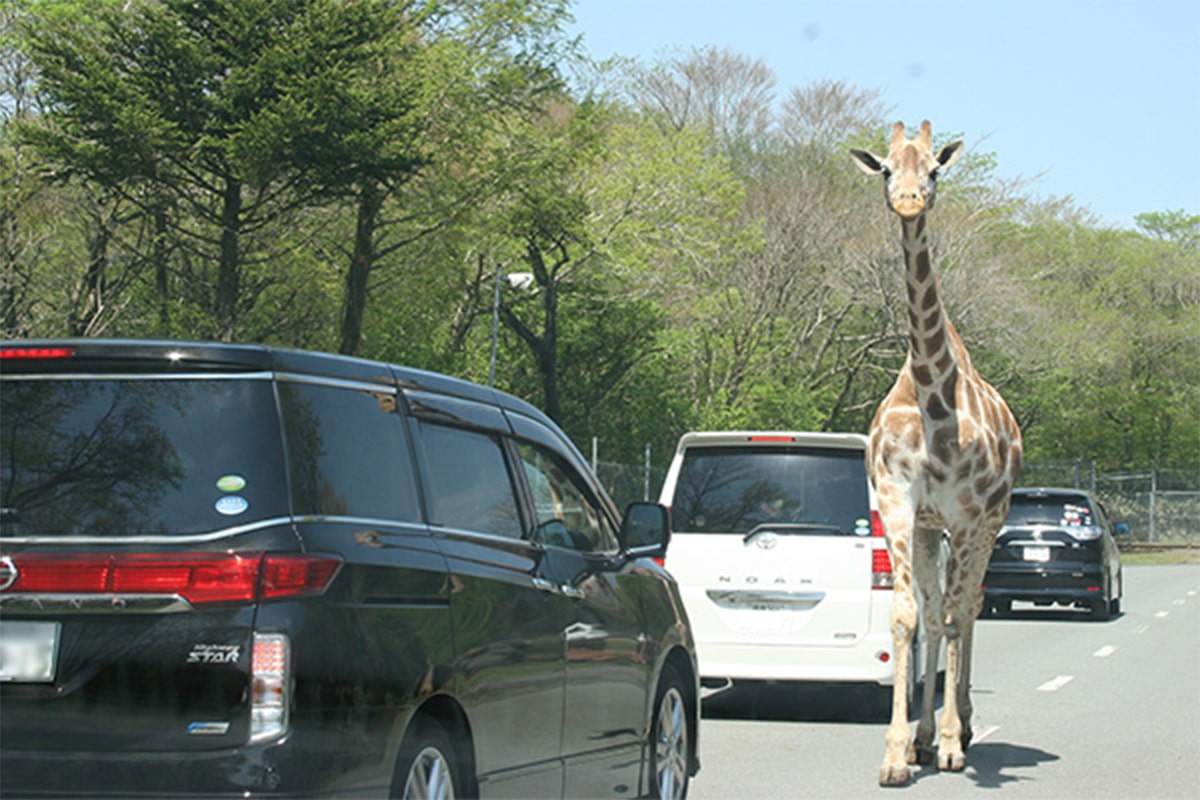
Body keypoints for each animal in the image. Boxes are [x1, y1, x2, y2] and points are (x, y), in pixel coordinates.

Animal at [849, 123, 1027, 786]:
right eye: (884, 169)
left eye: (933, 170)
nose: (908, 201)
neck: (931, 395)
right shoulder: (899, 504)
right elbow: (908, 616)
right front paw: (898, 753)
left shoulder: (970, 515)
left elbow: (953, 615)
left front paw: (951, 743)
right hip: (932, 530)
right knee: (936, 609)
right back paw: (926, 738)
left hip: (989, 524)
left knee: (968, 606)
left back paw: (962, 729)